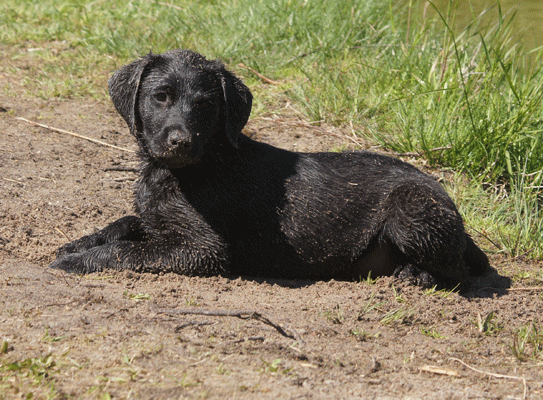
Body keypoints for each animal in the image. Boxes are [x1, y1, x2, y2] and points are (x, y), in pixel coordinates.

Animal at [51, 49, 490, 288]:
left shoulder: (204, 251)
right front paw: (79, 243)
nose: (182, 141)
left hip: (409, 212)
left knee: (461, 272)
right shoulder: (163, 225)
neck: (191, 168)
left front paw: (77, 261)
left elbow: (127, 249)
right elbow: (127, 223)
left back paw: (417, 275)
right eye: (160, 97)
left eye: (206, 105)